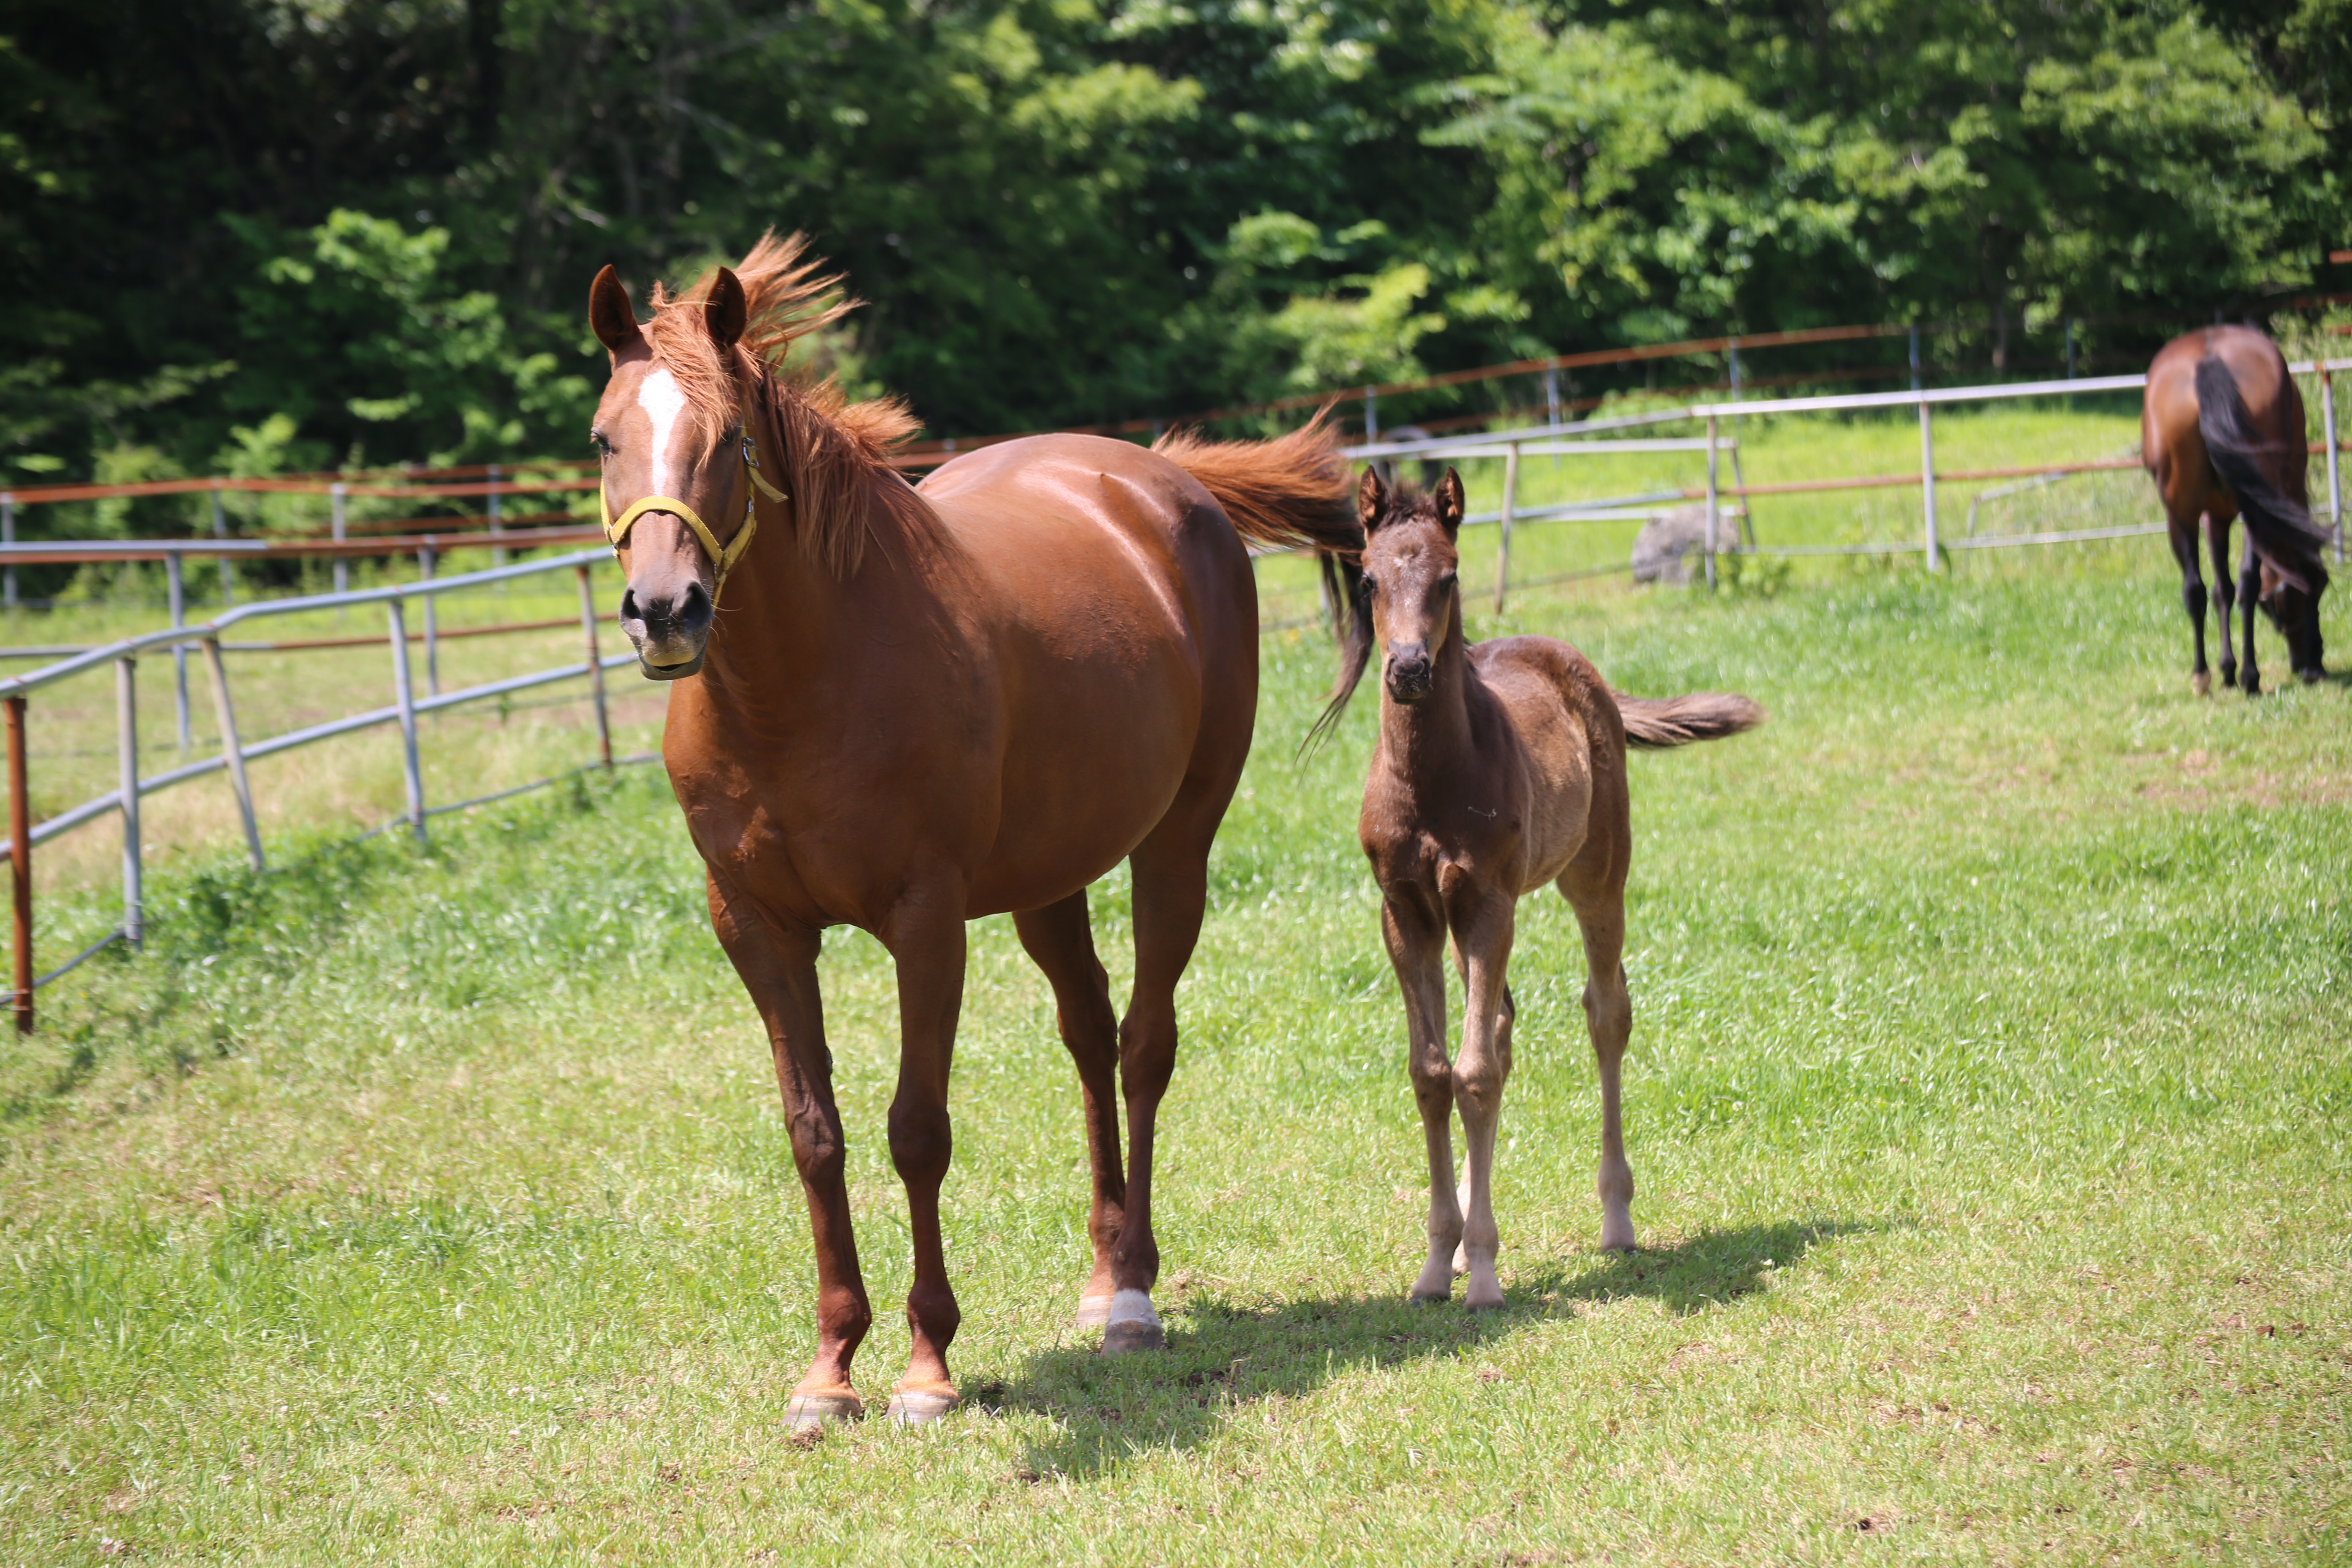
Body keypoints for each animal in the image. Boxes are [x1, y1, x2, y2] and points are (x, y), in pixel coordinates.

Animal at [588, 240, 1364, 1429]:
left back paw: (1132, 1298)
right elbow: (814, 1134)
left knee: (1142, 1045)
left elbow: (917, 1128)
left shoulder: (927, 920)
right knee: (1089, 1034)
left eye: (729, 440)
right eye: (603, 438)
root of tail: (1164, 480)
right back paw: (1099, 1277)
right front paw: (829, 1369)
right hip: (1050, 882)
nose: (665, 610)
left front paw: (925, 1366)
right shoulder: (757, 929)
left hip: (1174, 848)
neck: (799, 690)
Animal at [1336, 472, 1759, 1307]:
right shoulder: (1406, 911)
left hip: (1595, 875)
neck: (1431, 778)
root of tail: (1578, 665)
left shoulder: (1488, 902)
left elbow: (1474, 1074)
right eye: (1368, 579)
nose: (1408, 670)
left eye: (1449, 575)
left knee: (1606, 1013)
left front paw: (1484, 1278)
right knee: (1500, 1026)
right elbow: (1433, 1074)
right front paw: (1438, 1265)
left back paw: (1617, 1221)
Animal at [2145, 324, 2323, 691]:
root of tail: (2210, 360)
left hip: (2181, 514)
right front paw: (2236, 670)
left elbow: (2221, 590)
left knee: (2196, 589)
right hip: (2246, 511)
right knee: (2243, 583)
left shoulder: (2216, 516)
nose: (2302, 662)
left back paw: (2204, 674)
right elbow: (2237, 587)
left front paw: (2227, 669)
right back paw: (2248, 675)